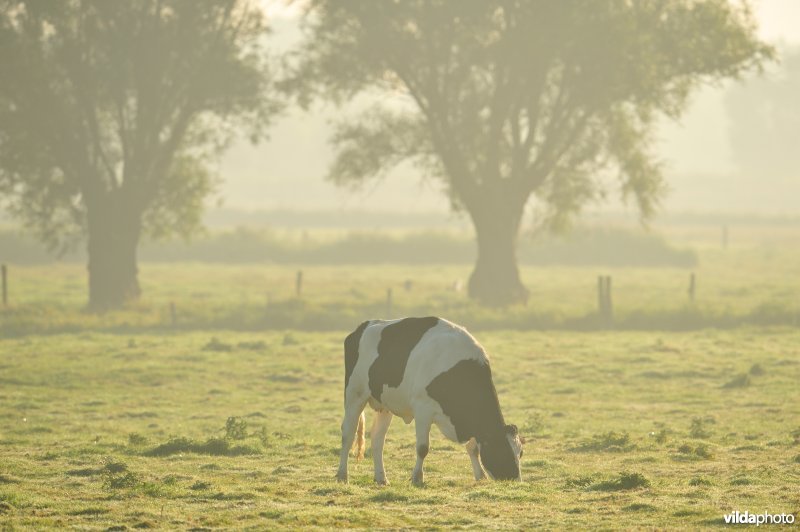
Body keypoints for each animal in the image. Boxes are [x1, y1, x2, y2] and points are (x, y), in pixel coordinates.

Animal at [336, 316, 524, 486]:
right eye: (502, 450)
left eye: (520, 452)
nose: (515, 480)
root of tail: (365, 325)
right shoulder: (423, 410)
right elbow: (422, 448)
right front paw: (417, 478)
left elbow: (474, 448)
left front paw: (481, 476)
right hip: (354, 395)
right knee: (348, 434)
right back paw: (342, 475)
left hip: (384, 404)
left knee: (377, 439)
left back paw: (381, 478)